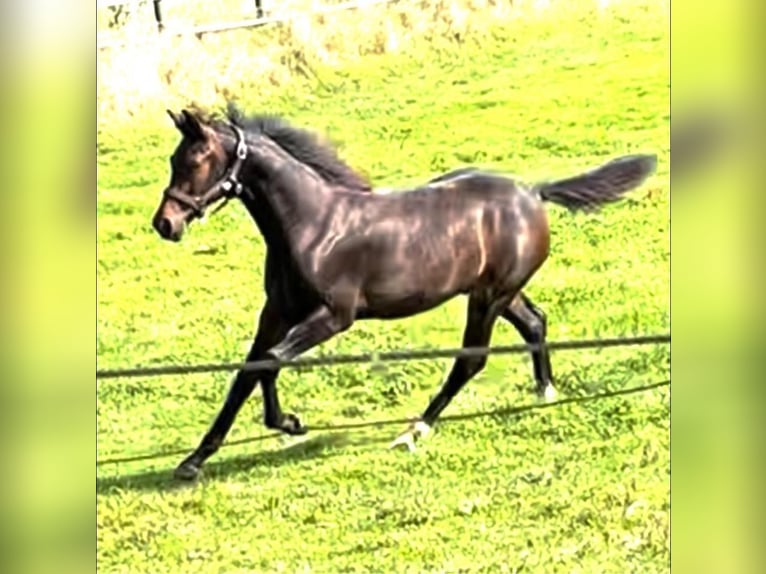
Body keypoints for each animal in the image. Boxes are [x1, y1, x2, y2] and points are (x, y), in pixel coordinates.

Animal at [152, 104, 660, 482]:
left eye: (195, 160)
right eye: (174, 160)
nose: (165, 224)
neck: (313, 225)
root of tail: (533, 192)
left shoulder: (334, 315)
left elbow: (272, 362)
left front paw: (291, 423)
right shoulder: (276, 312)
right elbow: (247, 373)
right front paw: (193, 461)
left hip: (489, 296)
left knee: (471, 360)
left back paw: (413, 431)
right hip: (497, 291)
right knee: (535, 322)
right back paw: (545, 393)